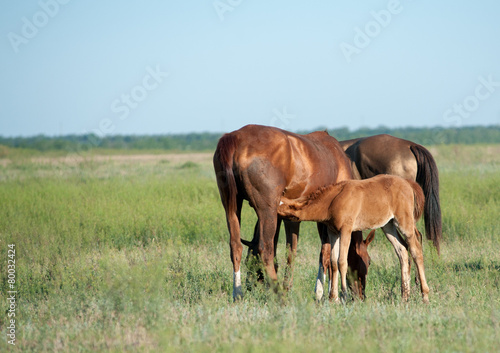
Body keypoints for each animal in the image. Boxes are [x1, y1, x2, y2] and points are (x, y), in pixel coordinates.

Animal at [214, 125, 352, 298]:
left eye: (250, 261)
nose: (251, 285)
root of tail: (236, 138)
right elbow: (327, 253)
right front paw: (324, 294)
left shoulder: (287, 217)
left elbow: (291, 251)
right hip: (266, 211)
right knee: (265, 249)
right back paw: (279, 295)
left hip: (232, 206)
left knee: (236, 246)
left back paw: (238, 294)